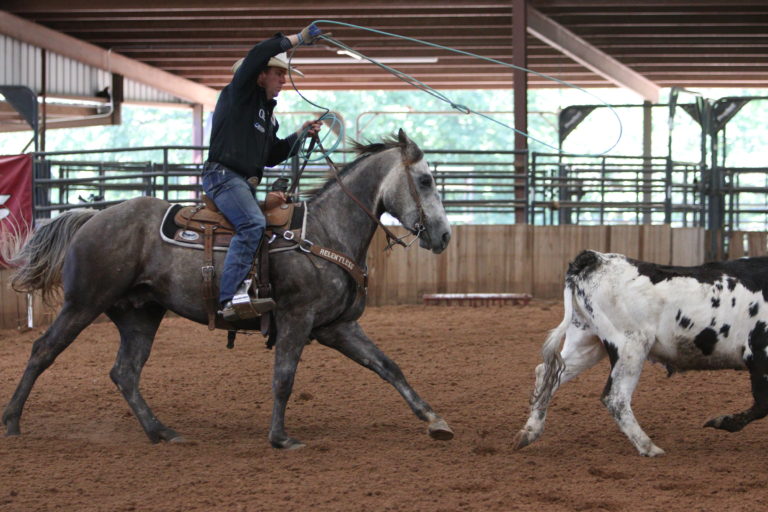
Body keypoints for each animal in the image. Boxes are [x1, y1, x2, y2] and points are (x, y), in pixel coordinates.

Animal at [3, 130, 452, 450]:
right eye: (426, 179)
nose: (445, 236)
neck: (325, 231)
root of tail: (92, 218)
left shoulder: (337, 327)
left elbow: (388, 366)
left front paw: (435, 421)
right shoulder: (296, 318)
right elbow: (284, 377)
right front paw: (280, 438)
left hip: (140, 313)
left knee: (125, 372)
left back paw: (161, 432)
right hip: (83, 303)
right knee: (43, 351)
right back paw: (12, 421)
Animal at [512, 249, 768, 456]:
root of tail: (595, 259)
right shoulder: (759, 357)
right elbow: (762, 405)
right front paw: (724, 422)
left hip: (587, 341)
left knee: (546, 373)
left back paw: (529, 432)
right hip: (630, 345)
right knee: (615, 398)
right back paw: (648, 447)